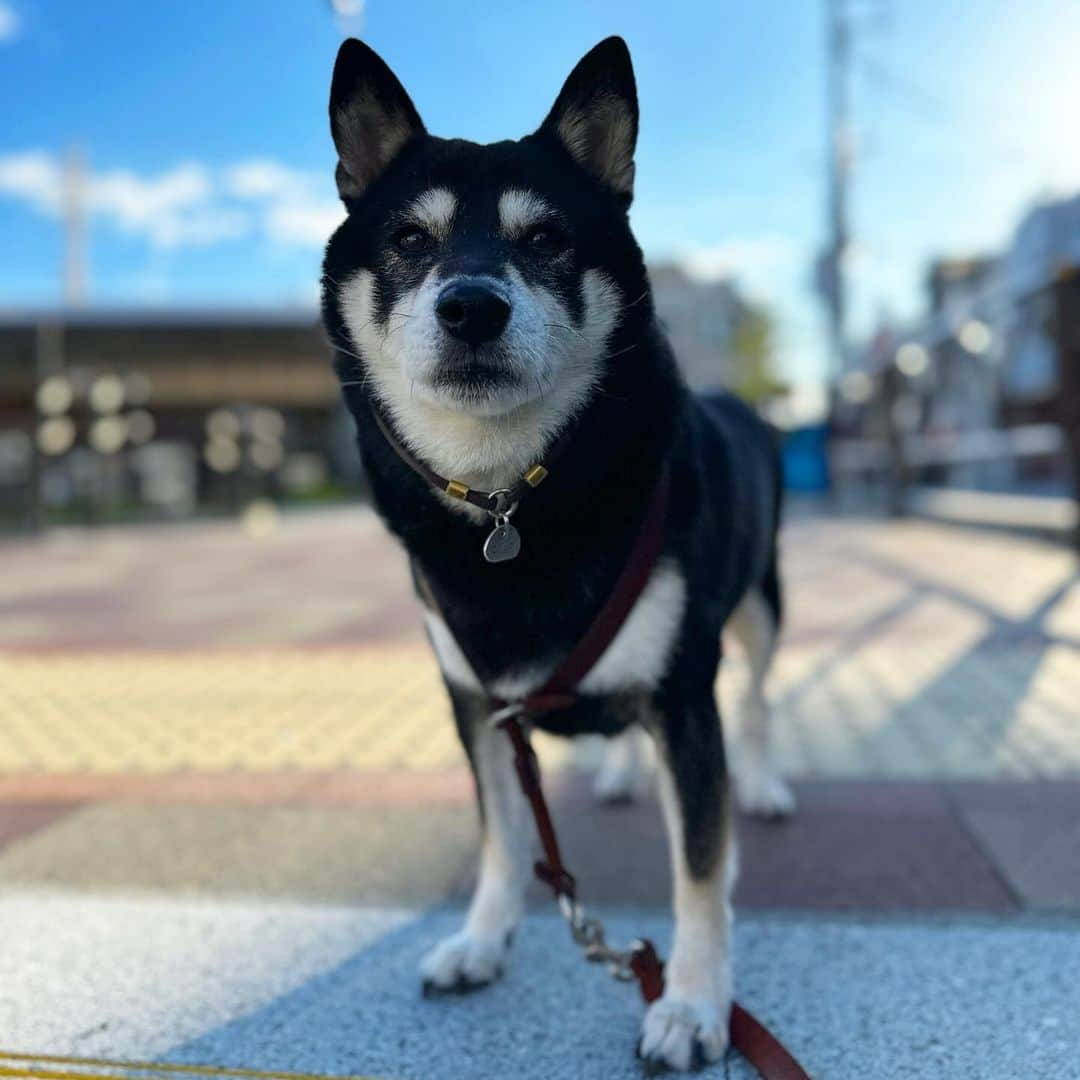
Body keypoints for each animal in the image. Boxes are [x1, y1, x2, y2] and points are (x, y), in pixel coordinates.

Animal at [319, 33, 794, 1071]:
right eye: (409, 241)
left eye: (545, 240)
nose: (470, 305)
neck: (510, 501)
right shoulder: (475, 704)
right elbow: (504, 839)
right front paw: (480, 941)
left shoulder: (684, 695)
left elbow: (702, 870)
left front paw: (692, 1004)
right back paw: (618, 773)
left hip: (759, 610)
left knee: (759, 696)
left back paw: (765, 781)